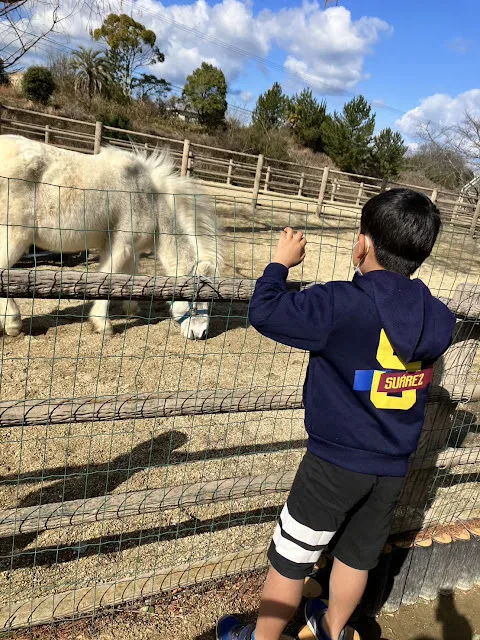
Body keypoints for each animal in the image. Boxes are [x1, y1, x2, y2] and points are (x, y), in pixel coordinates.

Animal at [0, 136, 223, 340]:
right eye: (195, 299)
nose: (201, 334)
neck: (151, 199)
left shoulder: (133, 251)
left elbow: (130, 279)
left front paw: (132, 310)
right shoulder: (119, 246)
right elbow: (107, 280)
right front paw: (103, 325)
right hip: (14, 237)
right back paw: (13, 323)